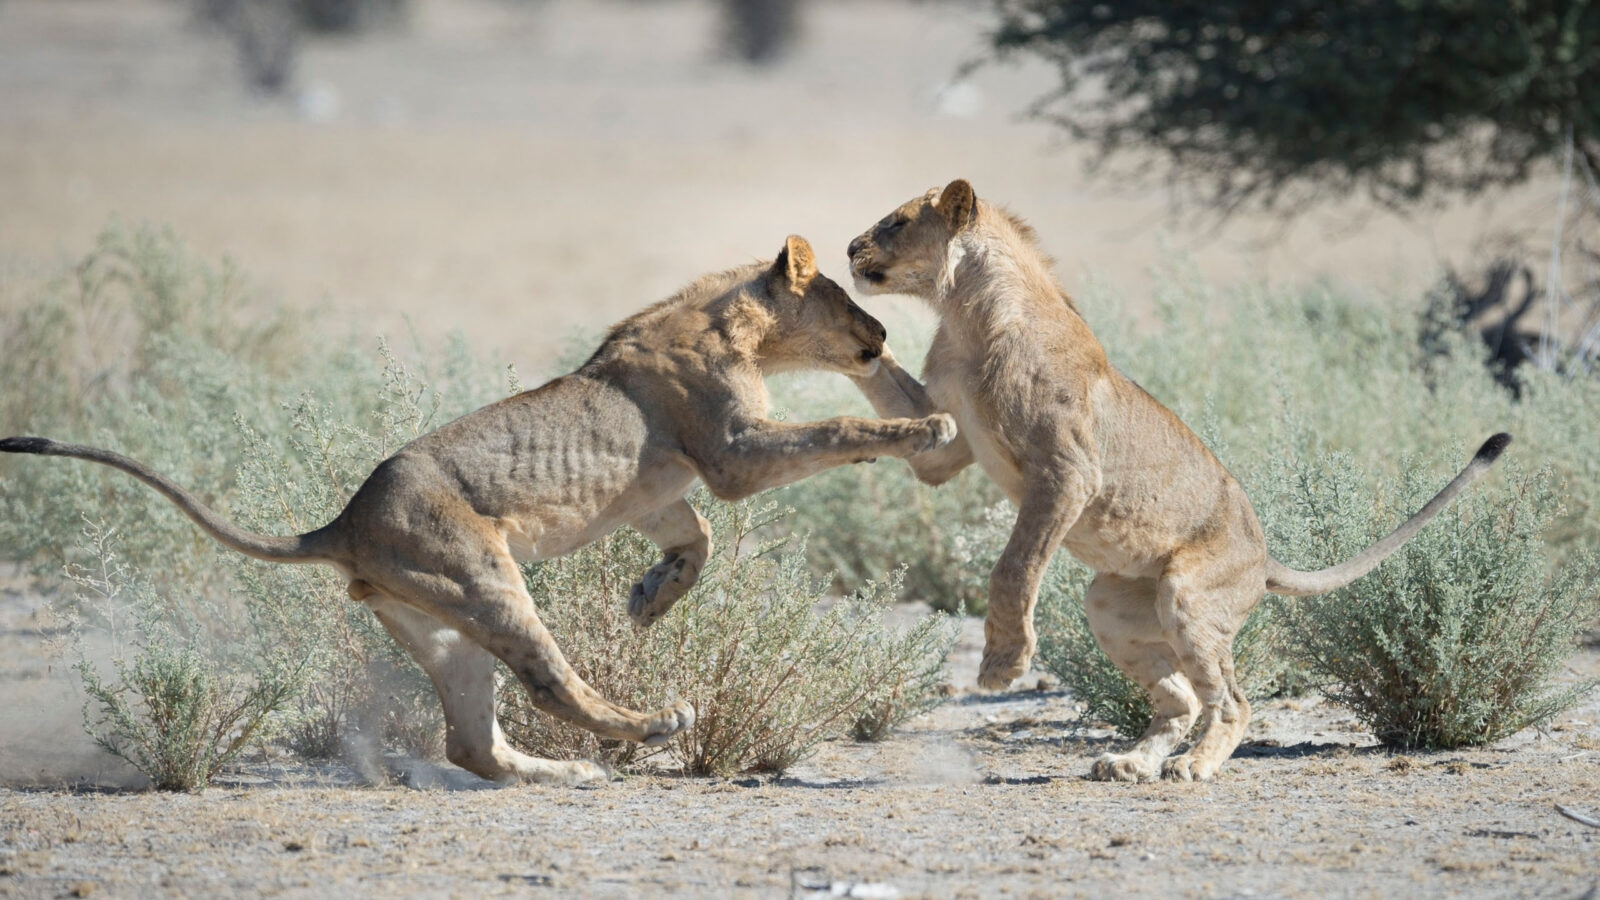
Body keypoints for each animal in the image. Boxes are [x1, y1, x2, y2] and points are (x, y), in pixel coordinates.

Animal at [0, 235, 957, 786]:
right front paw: (923, 426)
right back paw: (653, 724)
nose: (882, 335)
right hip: (489, 582)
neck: (742, 325)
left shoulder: (665, 491)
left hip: (444, 623)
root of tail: (344, 520)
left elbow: (701, 540)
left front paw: (650, 600)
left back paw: (564, 776)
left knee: (472, 743)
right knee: (556, 687)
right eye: (845, 296)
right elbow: (836, 430)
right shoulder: (734, 451)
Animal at [844, 180, 1510, 782]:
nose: (850, 247)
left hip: (1189, 595)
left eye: (897, 222)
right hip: (1109, 605)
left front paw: (1003, 663)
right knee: (1182, 699)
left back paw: (1192, 766)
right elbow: (891, 392)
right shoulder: (947, 446)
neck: (963, 314)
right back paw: (1131, 763)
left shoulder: (1069, 471)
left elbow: (1015, 566)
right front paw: (843, 329)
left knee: (1233, 702)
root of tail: (1265, 557)